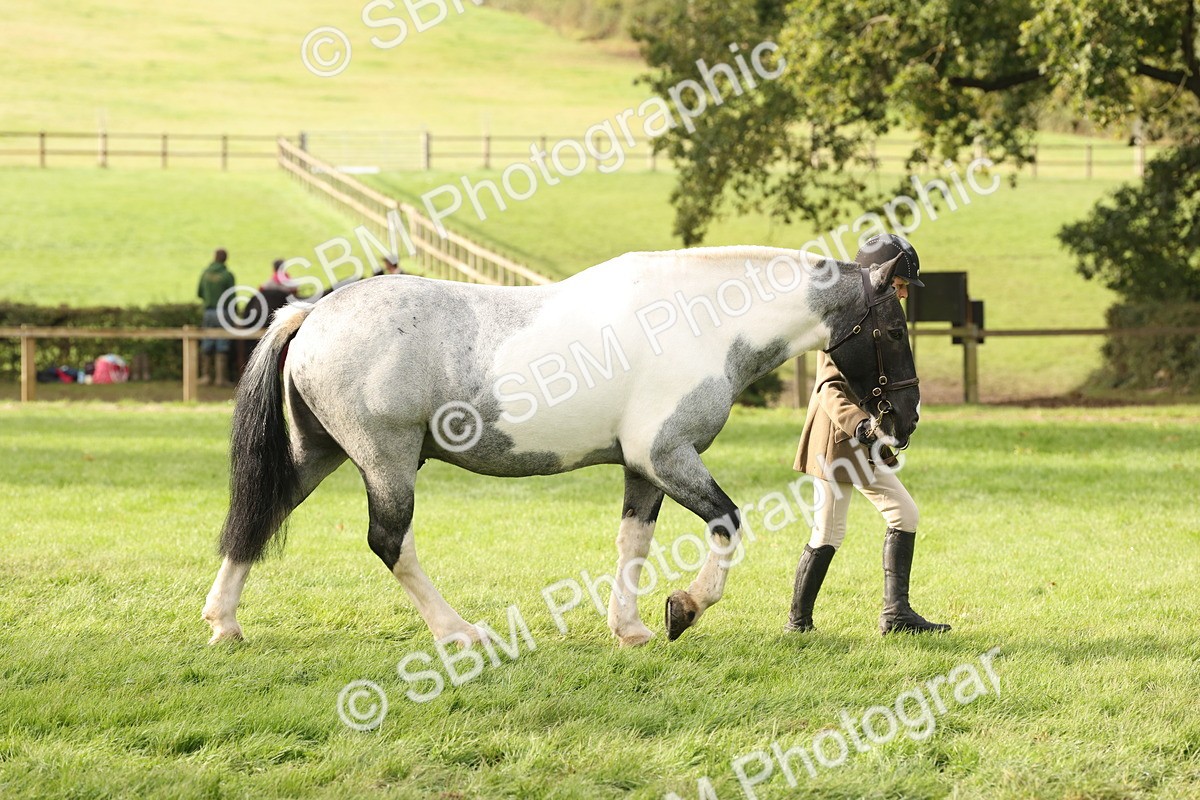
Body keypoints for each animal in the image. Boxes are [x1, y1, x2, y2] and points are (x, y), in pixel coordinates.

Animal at [202, 246, 920, 647]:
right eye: (893, 329)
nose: (906, 418)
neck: (700, 320)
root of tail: (314, 313)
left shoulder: (644, 467)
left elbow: (633, 543)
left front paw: (631, 628)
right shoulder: (669, 457)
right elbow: (727, 524)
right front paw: (684, 608)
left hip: (318, 453)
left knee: (260, 516)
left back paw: (224, 622)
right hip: (387, 461)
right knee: (390, 542)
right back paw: (459, 632)